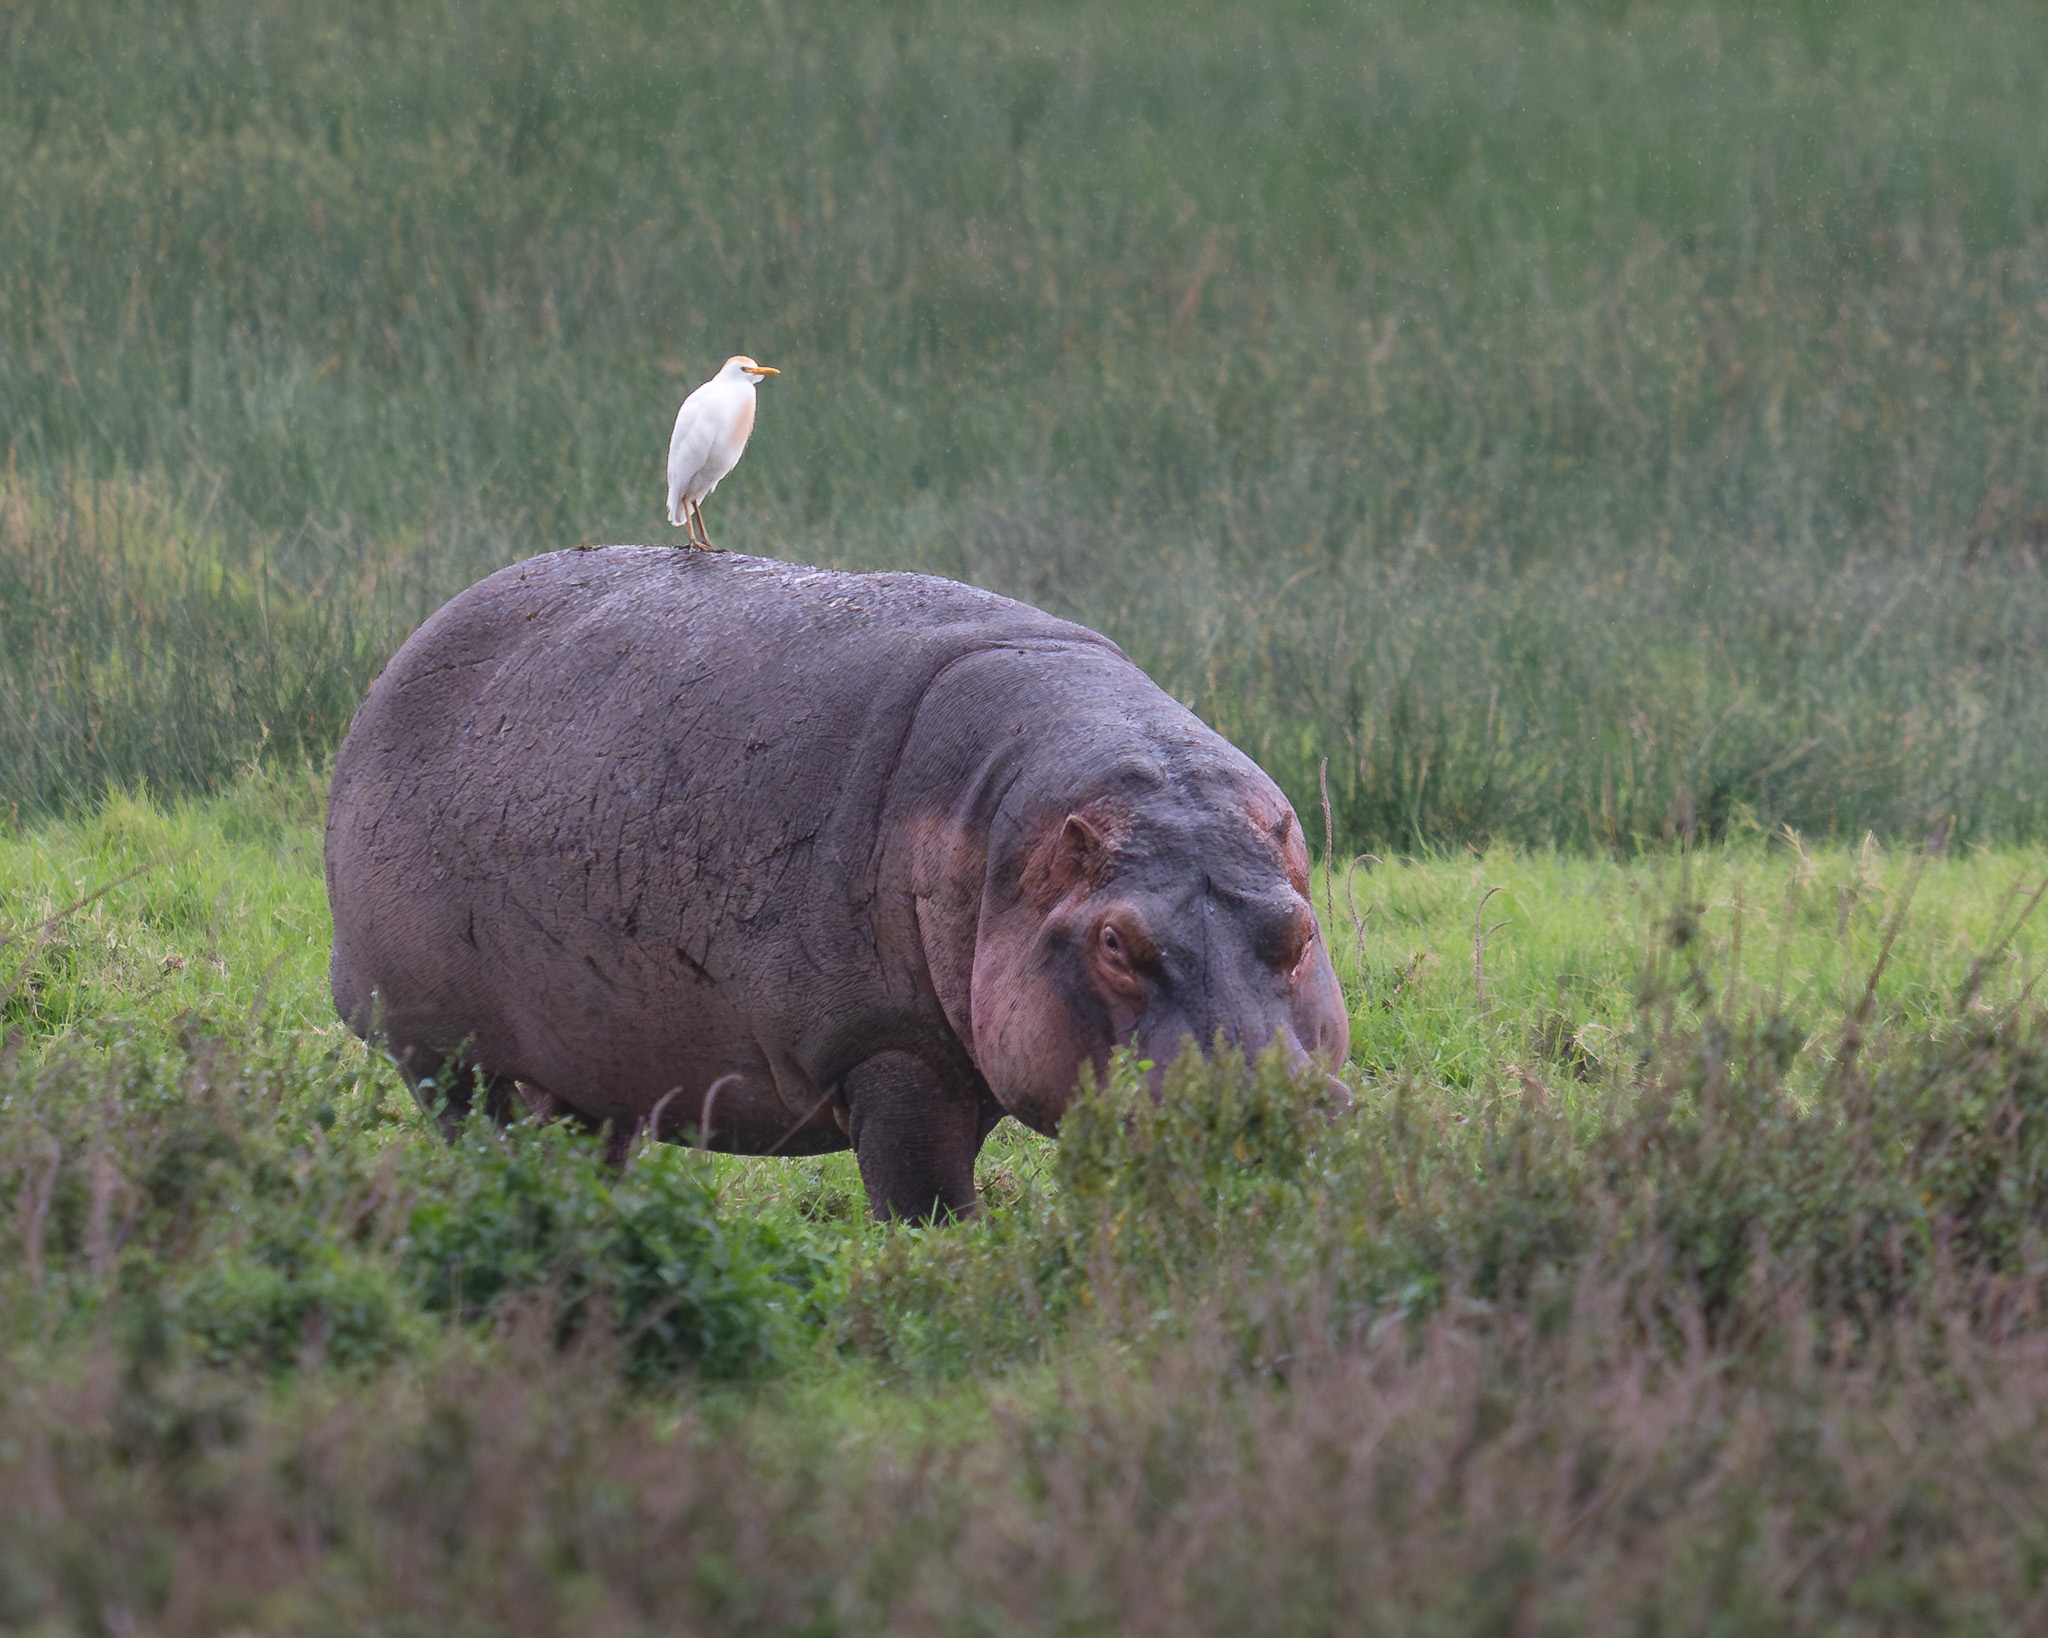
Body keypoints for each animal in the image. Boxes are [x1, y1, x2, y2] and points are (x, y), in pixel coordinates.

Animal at [324, 547, 1349, 1220]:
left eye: (1300, 931)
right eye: (1114, 942)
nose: (1254, 1105)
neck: (1005, 847)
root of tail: (394, 669)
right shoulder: (887, 1050)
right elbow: (928, 1207)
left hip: (588, 1061)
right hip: (438, 1051)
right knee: (483, 1138)